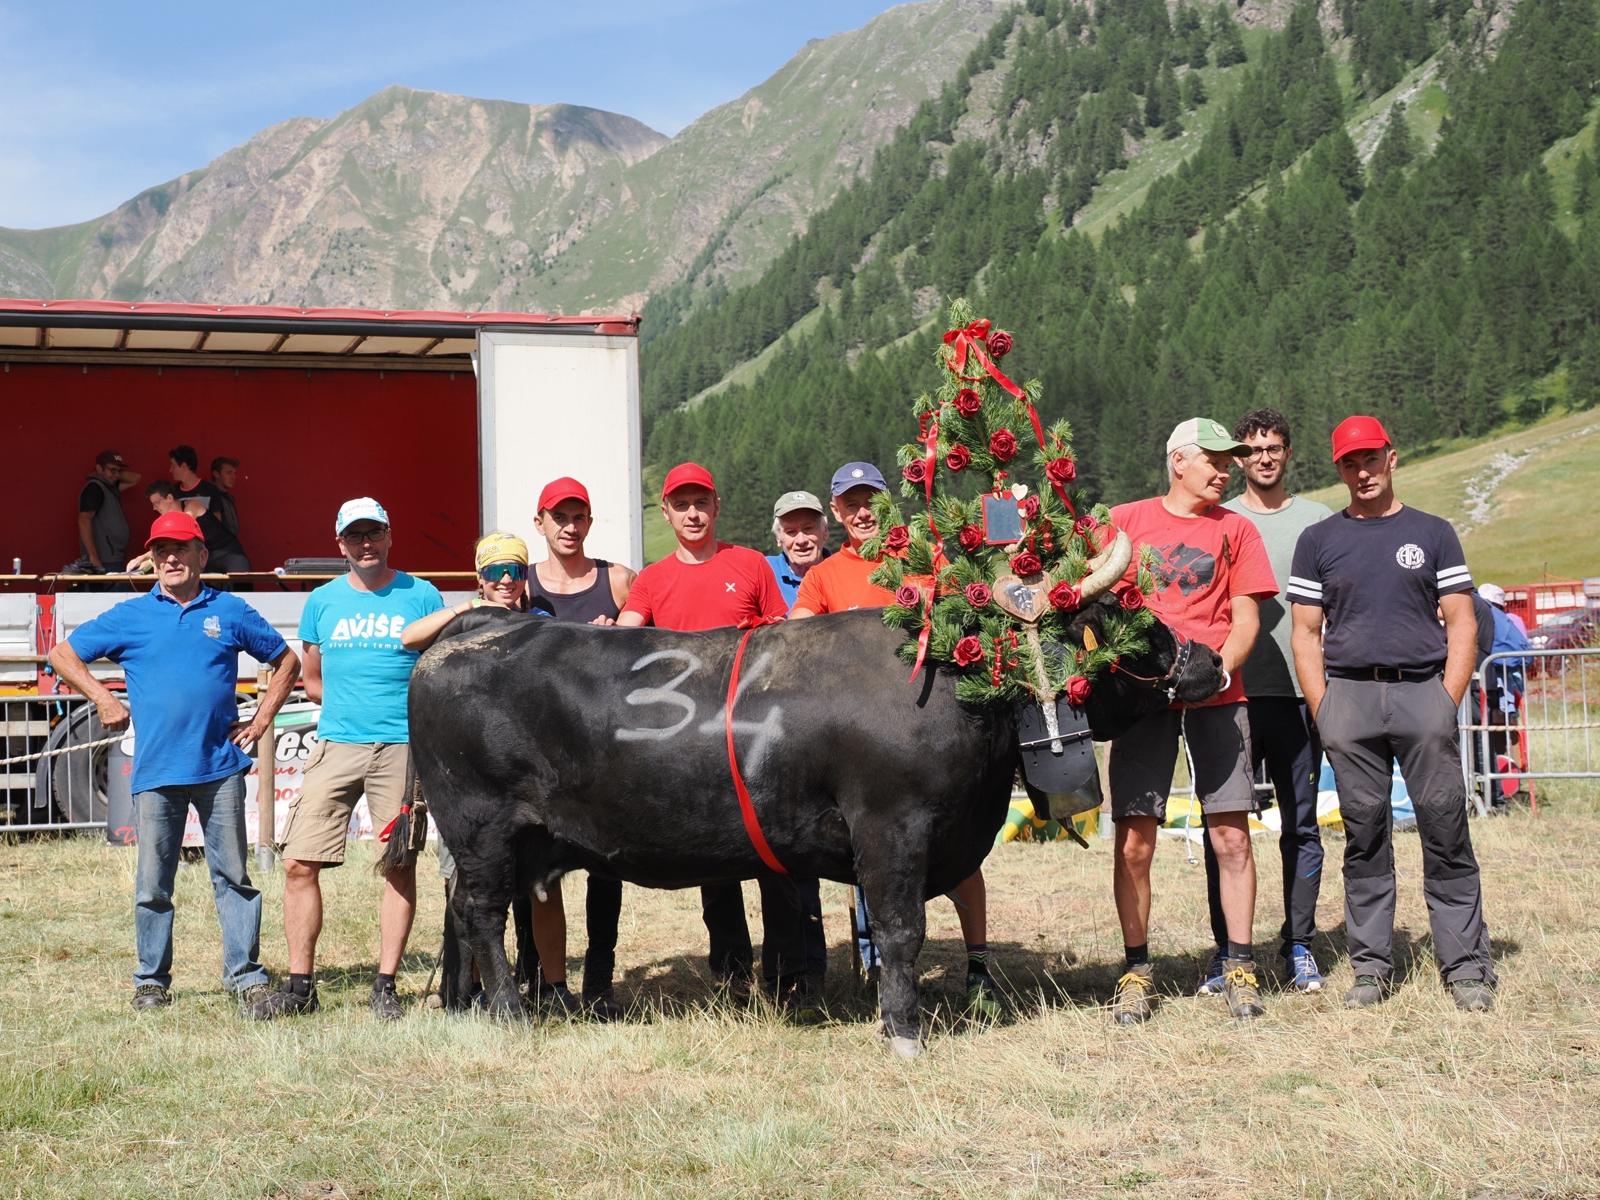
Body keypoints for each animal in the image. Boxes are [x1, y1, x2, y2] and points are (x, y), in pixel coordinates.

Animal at [393, 598, 1216, 1056]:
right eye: (1138, 631)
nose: (1207, 657)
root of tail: (474, 626)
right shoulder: (893, 827)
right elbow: (901, 929)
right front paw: (903, 1029)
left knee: (464, 915)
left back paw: (473, 1004)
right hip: (482, 826)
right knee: (481, 914)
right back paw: (509, 1011)